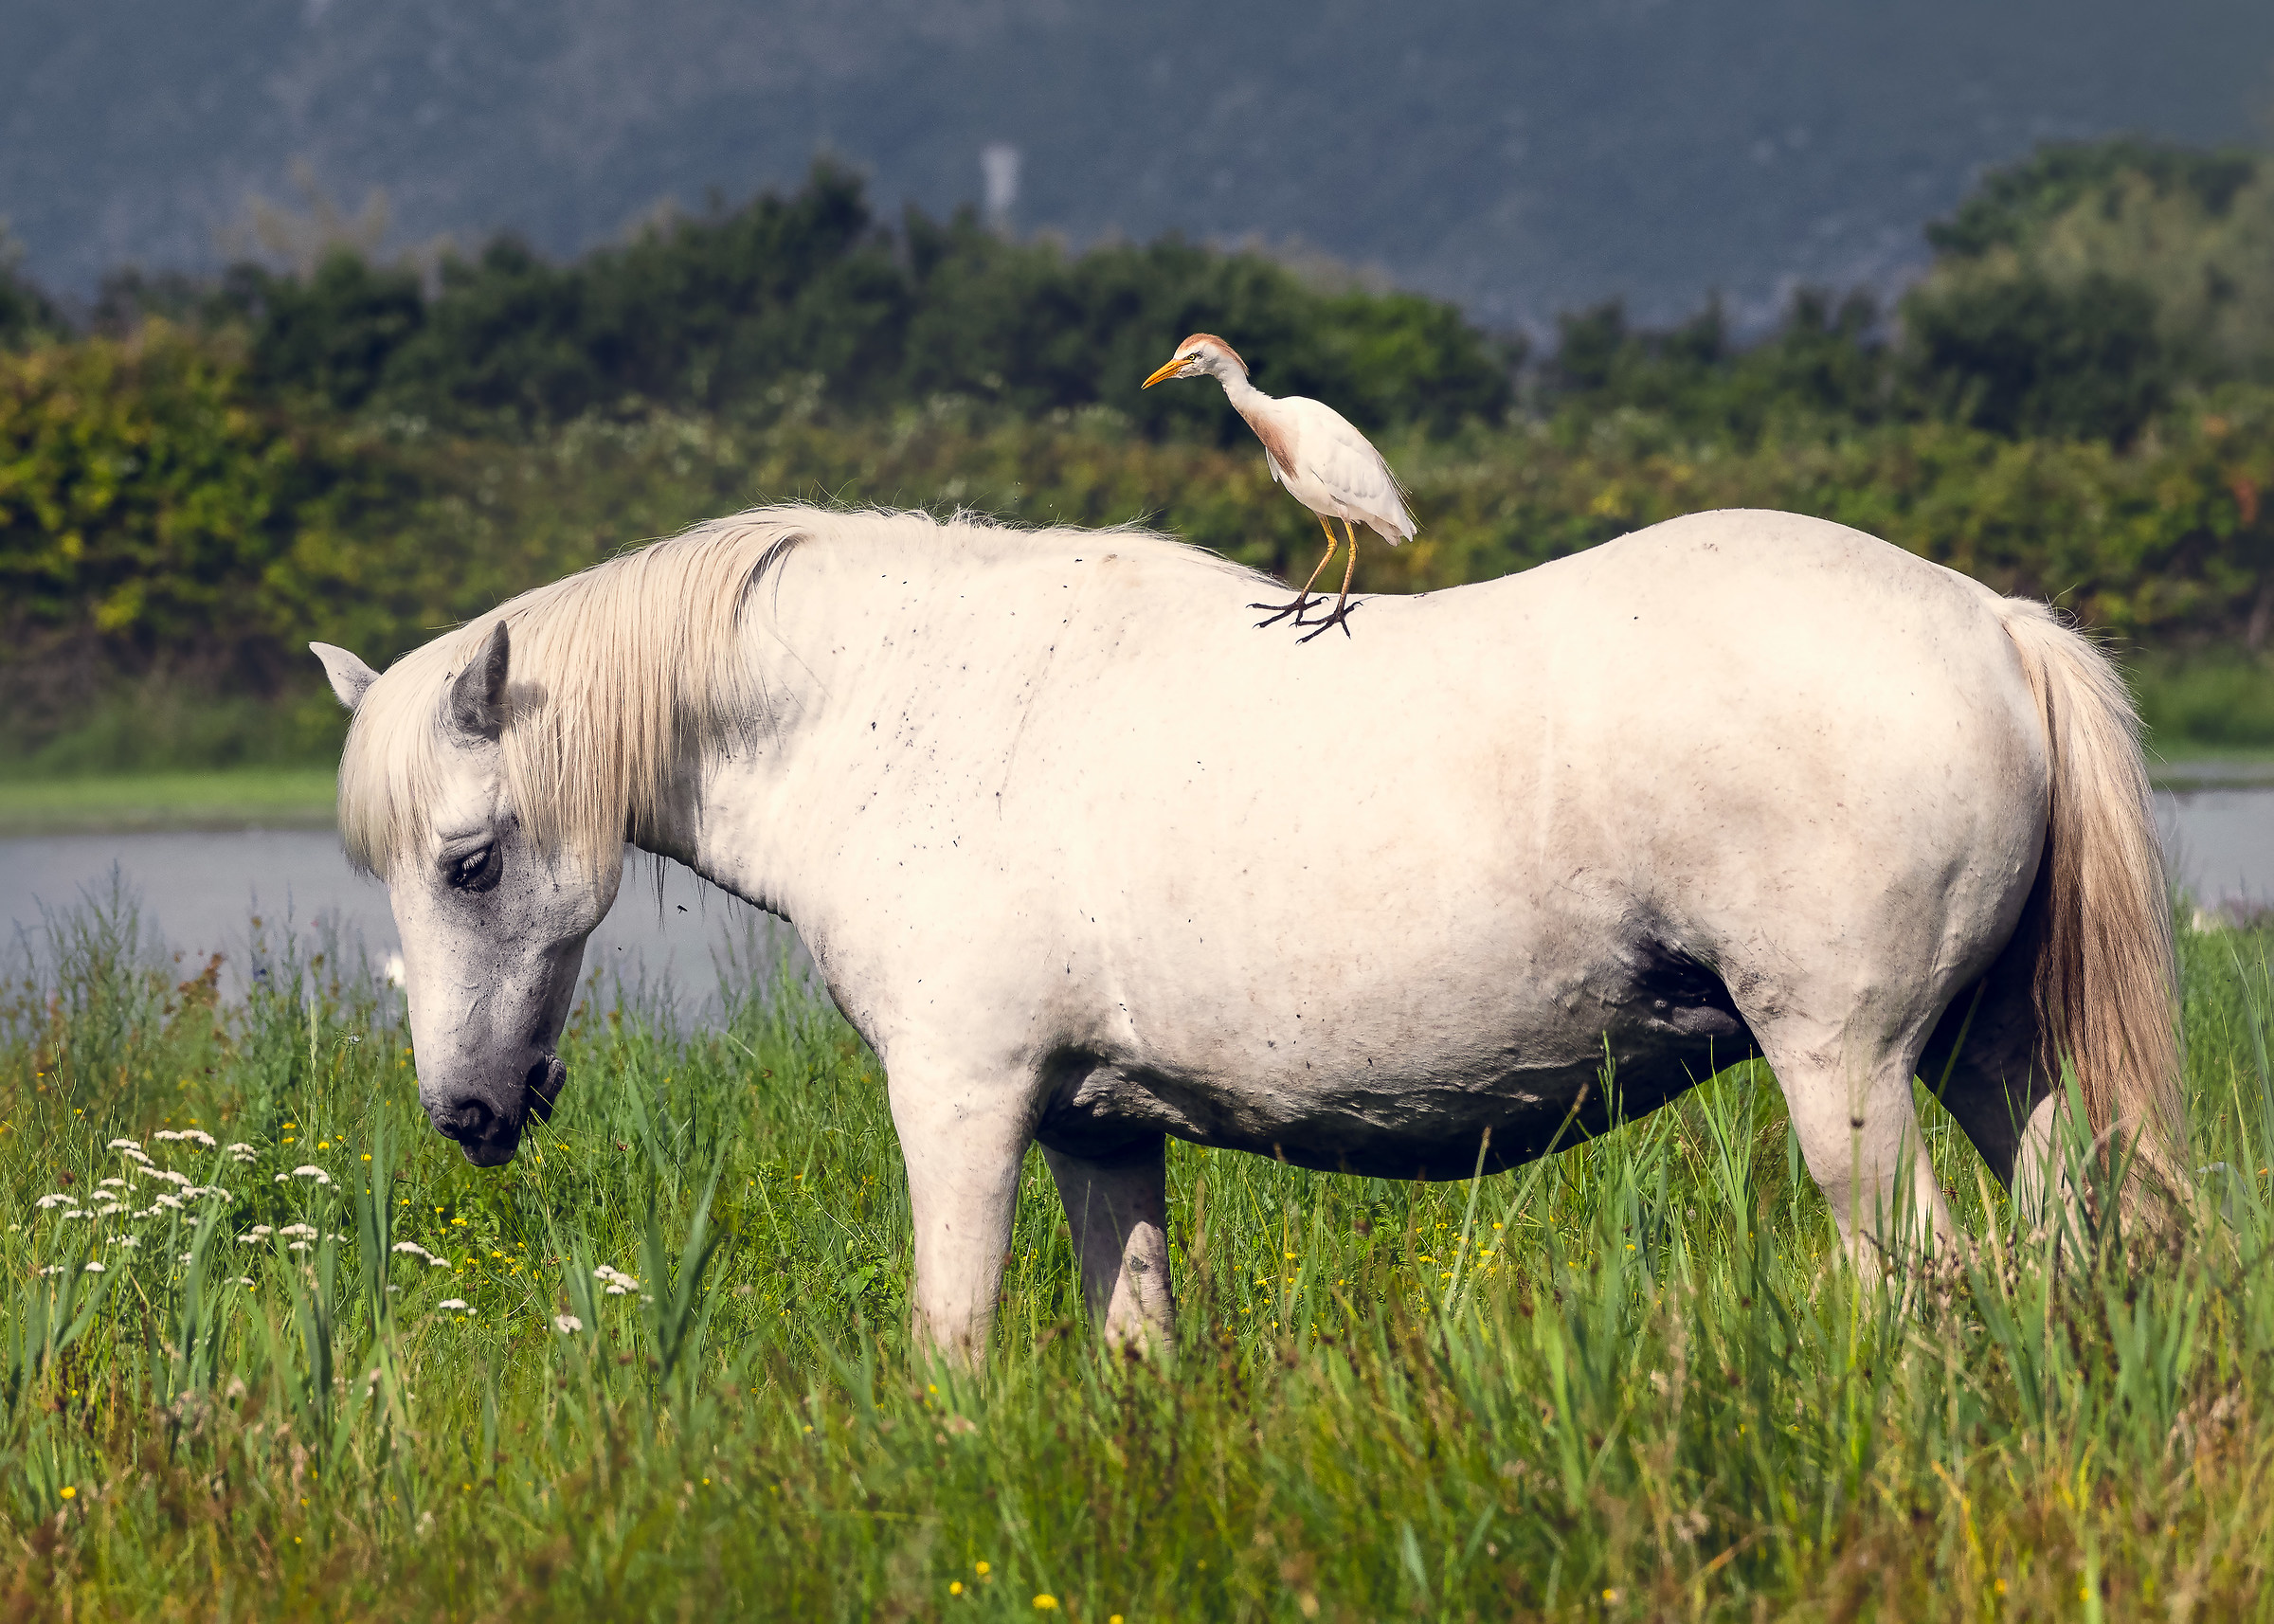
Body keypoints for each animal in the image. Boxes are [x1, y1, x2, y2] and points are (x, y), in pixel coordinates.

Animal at [311, 503, 2183, 1359]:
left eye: (469, 862)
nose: (469, 1109)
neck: (910, 710)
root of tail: (1992, 621)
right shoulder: (1097, 1127)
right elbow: (1134, 1342)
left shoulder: (965, 1104)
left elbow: (953, 1336)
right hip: (1987, 1062)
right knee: (2065, 1245)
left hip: (1847, 1071)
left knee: (1929, 1281)